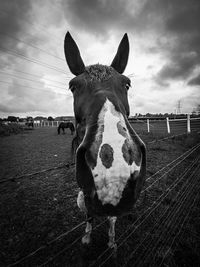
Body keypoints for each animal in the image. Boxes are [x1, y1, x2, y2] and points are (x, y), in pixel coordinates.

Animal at [64, 31, 147, 251]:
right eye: (72, 86)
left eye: (127, 84)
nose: (116, 167)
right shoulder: (85, 194)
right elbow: (89, 214)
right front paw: (86, 237)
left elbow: (112, 217)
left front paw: (111, 240)